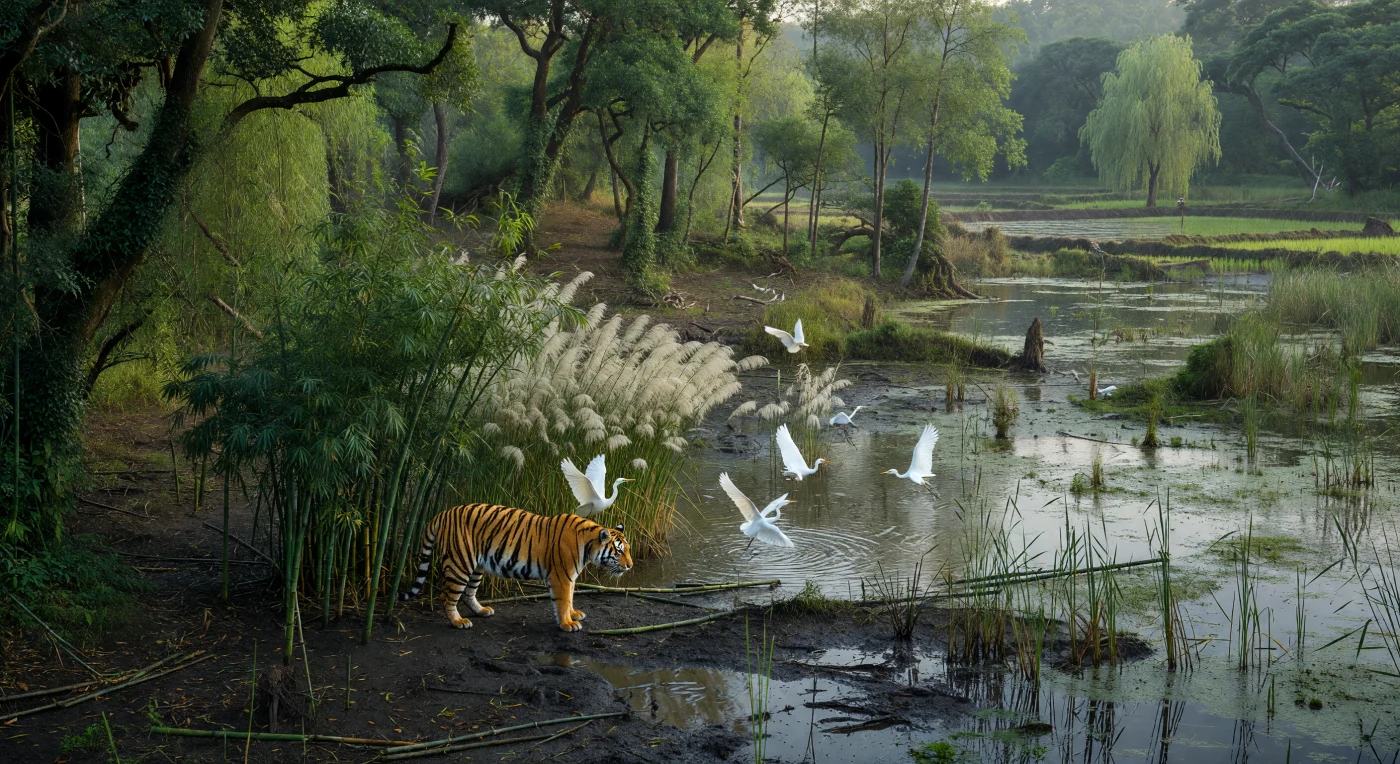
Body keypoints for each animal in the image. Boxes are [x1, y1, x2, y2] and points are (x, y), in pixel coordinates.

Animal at [400, 503, 633, 632]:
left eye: (628, 549)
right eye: (619, 551)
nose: (630, 566)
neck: (588, 545)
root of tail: (442, 513)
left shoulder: (570, 577)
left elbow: (570, 599)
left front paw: (574, 614)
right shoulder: (562, 577)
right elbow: (563, 600)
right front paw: (568, 624)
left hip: (477, 566)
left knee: (468, 593)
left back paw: (482, 611)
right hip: (460, 563)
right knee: (447, 596)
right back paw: (458, 621)